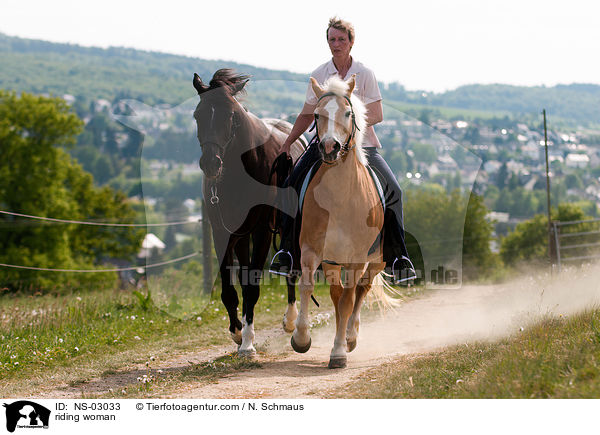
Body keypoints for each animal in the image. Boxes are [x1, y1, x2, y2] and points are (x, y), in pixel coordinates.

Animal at [193, 67, 304, 354]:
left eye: (231, 115)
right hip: (241, 236)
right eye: (198, 114)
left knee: (292, 270)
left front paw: (248, 342)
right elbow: (230, 289)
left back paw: (291, 321)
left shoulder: (262, 231)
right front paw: (236, 331)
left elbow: (252, 286)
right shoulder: (221, 232)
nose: (211, 163)